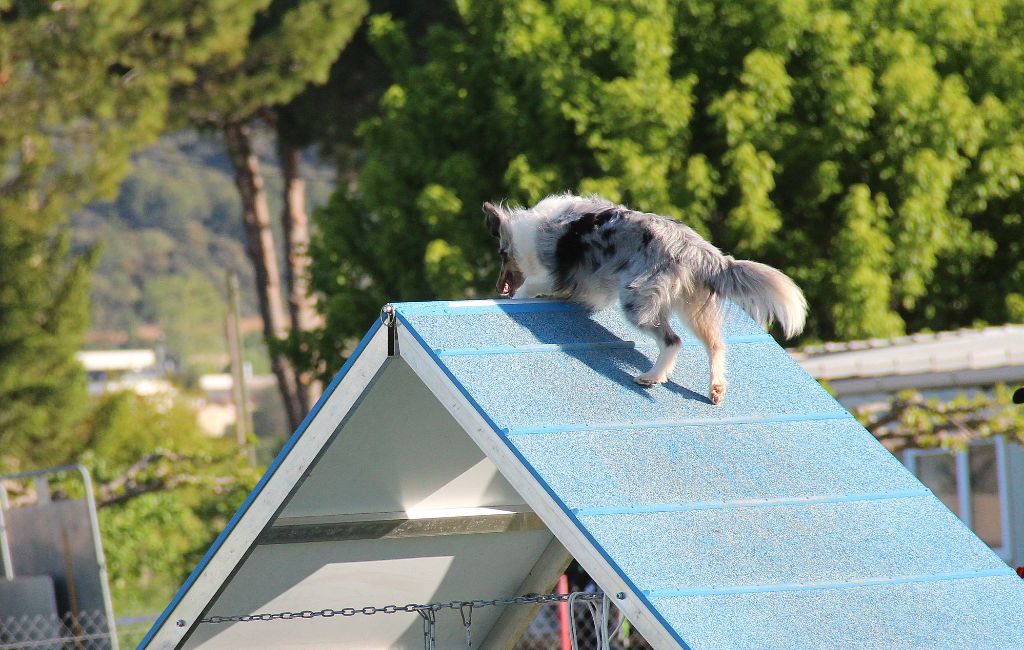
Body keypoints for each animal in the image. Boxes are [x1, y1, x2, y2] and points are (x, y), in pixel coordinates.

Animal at [483, 194, 811, 407]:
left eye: (501, 254)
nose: (498, 287)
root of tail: (697, 250)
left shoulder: (548, 275)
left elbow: (529, 287)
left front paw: (515, 299)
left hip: (637, 302)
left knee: (673, 340)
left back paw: (651, 377)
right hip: (692, 309)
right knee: (715, 344)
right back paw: (715, 389)